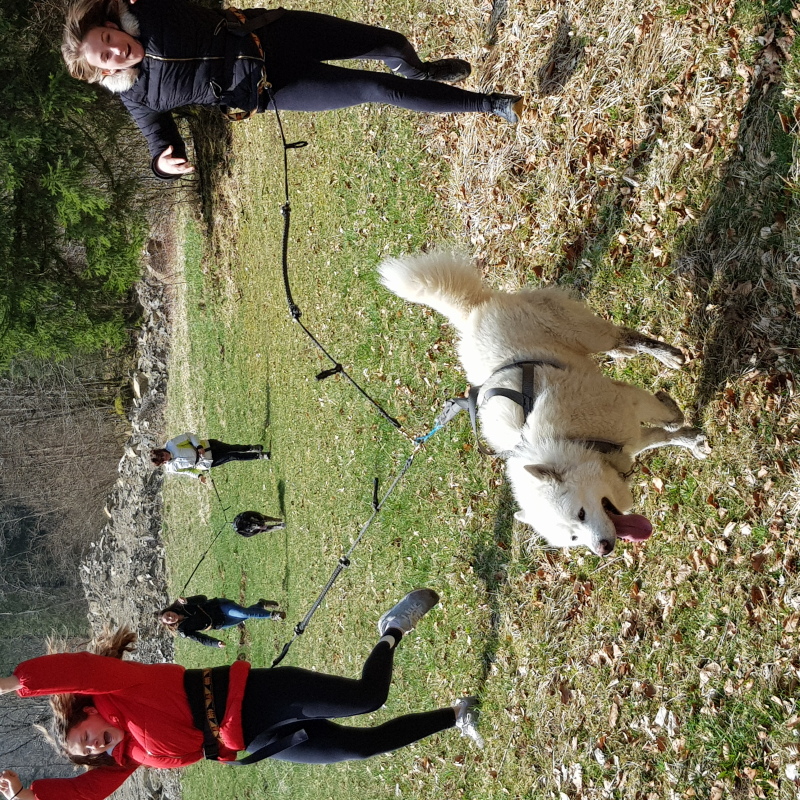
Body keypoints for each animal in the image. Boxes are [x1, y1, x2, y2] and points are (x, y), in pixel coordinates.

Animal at [378, 255, 708, 556]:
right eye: (574, 538)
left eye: (581, 514)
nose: (602, 549)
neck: (570, 442)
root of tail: (472, 312)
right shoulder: (627, 439)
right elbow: (663, 437)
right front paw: (688, 437)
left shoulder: (628, 405)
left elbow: (667, 421)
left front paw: (681, 424)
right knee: (618, 344)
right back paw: (626, 355)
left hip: (585, 332)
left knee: (625, 335)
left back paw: (666, 355)